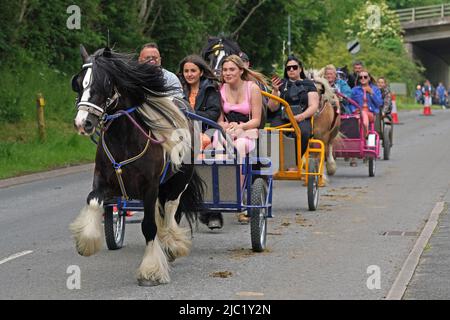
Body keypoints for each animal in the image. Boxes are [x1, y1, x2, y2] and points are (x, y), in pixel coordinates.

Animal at [69, 44, 203, 284]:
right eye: (78, 81)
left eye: (105, 82)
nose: (83, 123)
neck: (125, 139)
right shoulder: (104, 181)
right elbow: (93, 201)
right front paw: (86, 242)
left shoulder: (150, 187)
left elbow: (149, 226)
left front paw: (151, 270)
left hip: (178, 182)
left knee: (171, 211)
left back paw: (171, 246)